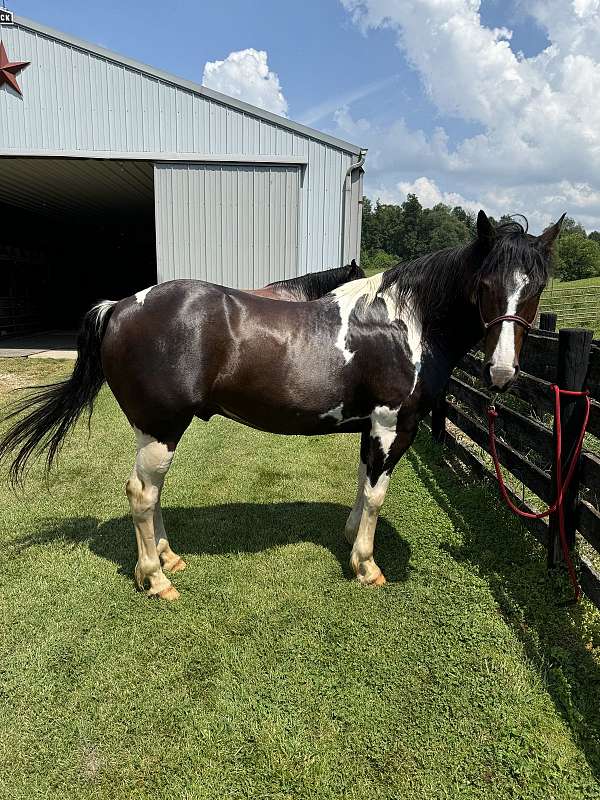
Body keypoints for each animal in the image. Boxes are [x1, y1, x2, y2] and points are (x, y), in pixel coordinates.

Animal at [0, 209, 564, 596]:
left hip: (154, 431)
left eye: (537, 286)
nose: (502, 373)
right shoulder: (390, 426)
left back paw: (168, 558)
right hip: (162, 428)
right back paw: (157, 579)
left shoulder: (369, 429)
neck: (404, 323)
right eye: (486, 284)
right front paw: (366, 565)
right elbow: (377, 496)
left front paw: (349, 539)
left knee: (150, 494)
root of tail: (119, 305)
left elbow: (362, 486)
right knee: (141, 493)